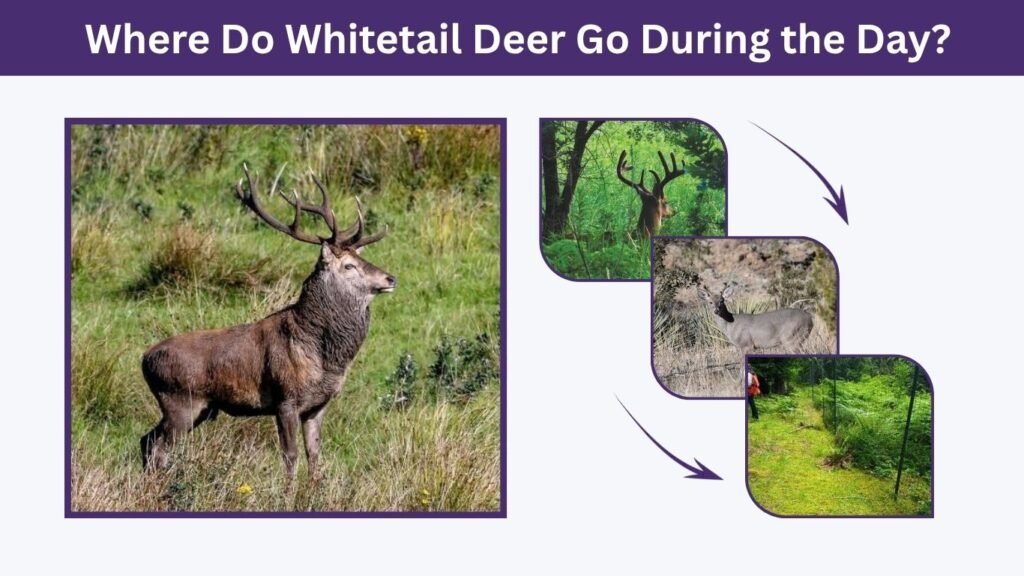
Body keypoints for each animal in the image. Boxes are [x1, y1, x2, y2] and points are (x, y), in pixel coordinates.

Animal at [139, 163, 396, 482]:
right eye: (349, 266)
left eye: (362, 259)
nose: (390, 278)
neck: (325, 359)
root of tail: (144, 359)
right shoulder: (285, 399)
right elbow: (290, 456)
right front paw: (289, 491)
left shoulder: (317, 406)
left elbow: (315, 455)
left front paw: (315, 488)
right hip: (179, 401)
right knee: (158, 448)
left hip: (200, 409)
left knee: (146, 439)